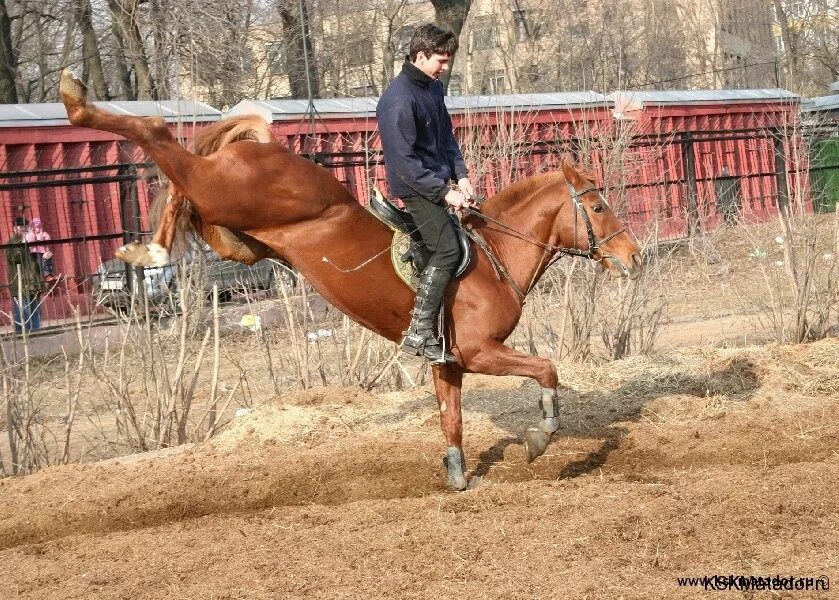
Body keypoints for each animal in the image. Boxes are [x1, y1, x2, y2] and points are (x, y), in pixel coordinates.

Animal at [59, 69, 642, 490]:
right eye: (598, 205)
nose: (634, 257)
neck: (496, 255)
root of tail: (265, 150)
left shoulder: (449, 362)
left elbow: (450, 418)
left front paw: (457, 476)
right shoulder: (481, 351)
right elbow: (546, 370)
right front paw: (541, 437)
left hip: (233, 233)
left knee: (184, 192)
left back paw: (146, 246)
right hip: (226, 192)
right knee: (160, 136)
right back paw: (77, 100)